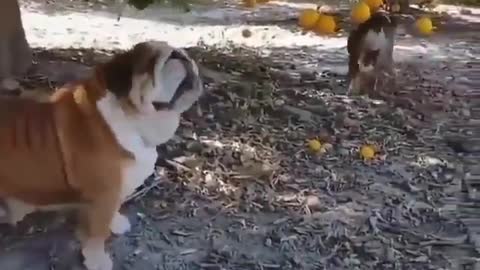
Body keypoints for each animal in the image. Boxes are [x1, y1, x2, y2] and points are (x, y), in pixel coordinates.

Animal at [0, 40, 201, 270]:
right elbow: (98, 233)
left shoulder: (115, 191)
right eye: (151, 62)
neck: (130, 118)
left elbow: (114, 211)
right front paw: (97, 260)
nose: (179, 54)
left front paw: (117, 223)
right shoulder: (104, 195)